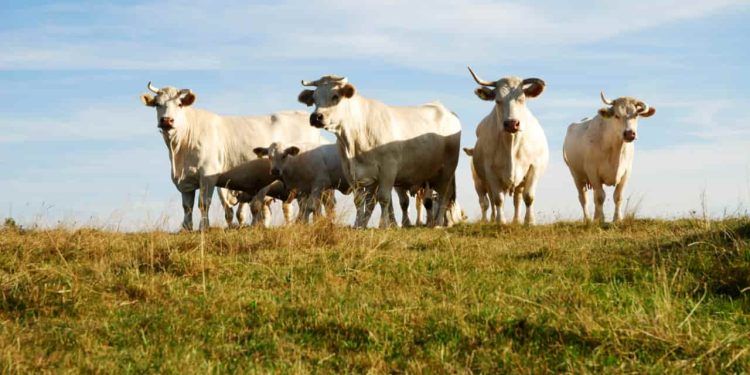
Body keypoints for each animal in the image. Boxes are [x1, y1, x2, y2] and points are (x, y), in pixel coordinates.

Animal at [141, 82, 324, 232]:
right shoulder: (186, 180)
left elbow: (203, 203)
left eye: (179, 104)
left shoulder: (208, 175)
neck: (179, 152)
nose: (167, 120)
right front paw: (186, 228)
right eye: (157, 104)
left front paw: (204, 227)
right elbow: (187, 206)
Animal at [468, 67, 548, 226]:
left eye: (522, 99)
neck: (511, 143)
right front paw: (501, 221)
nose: (511, 123)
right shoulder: (491, 172)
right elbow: (498, 200)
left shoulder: (534, 167)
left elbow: (529, 197)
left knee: (518, 198)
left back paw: (517, 220)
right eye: (497, 101)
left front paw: (529, 222)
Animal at [564, 90, 656, 223]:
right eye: (616, 115)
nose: (629, 133)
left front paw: (617, 218)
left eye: (636, 115)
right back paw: (588, 219)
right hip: (576, 175)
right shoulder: (593, 172)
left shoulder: (626, 173)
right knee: (583, 198)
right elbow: (600, 197)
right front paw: (600, 219)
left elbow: (618, 196)